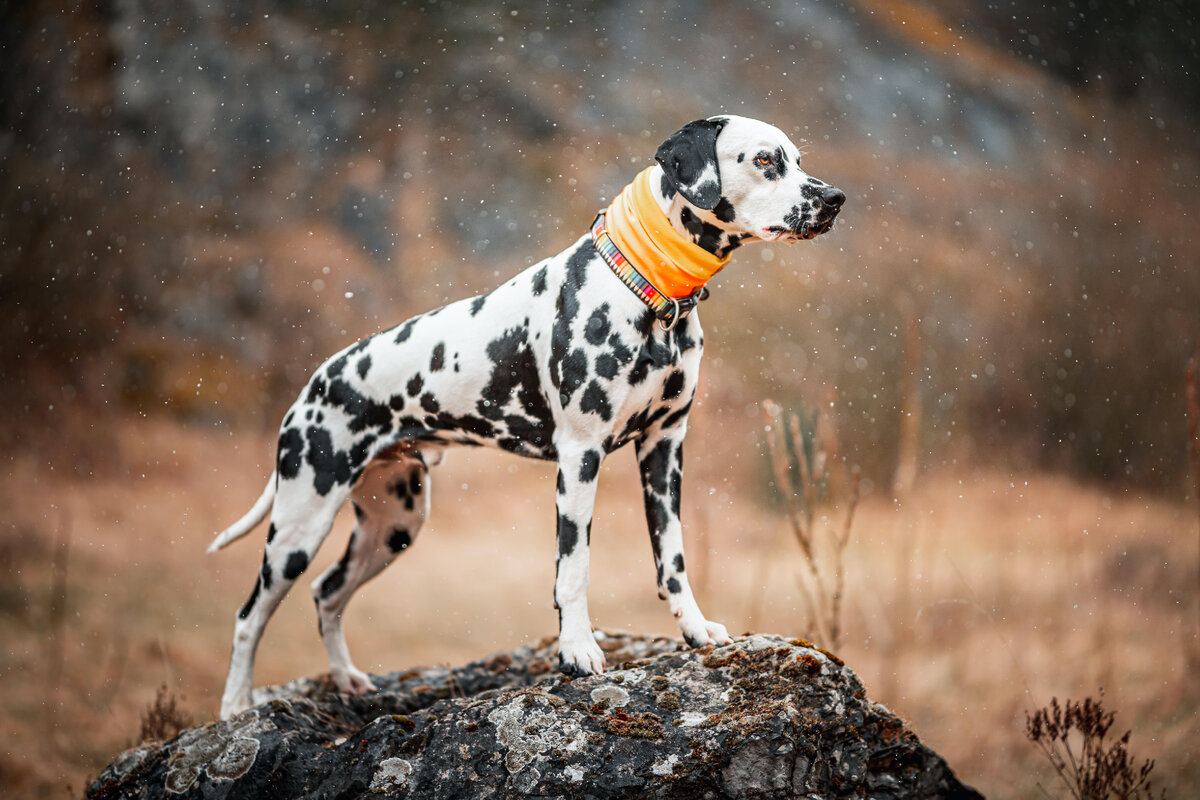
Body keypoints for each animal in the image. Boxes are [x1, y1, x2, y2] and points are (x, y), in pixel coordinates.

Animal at [208, 115, 844, 724]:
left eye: (797, 158)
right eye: (764, 160)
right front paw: (579, 651)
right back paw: (236, 706)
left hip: (392, 525)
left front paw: (694, 629)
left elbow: (673, 560)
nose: (835, 198)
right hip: (301, 521)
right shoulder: (580, 458)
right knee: (248, 613)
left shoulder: (665, 448)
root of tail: (315, 383)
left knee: (327, 594)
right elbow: (574, 568)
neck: (648, 286)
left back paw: (345, 680)